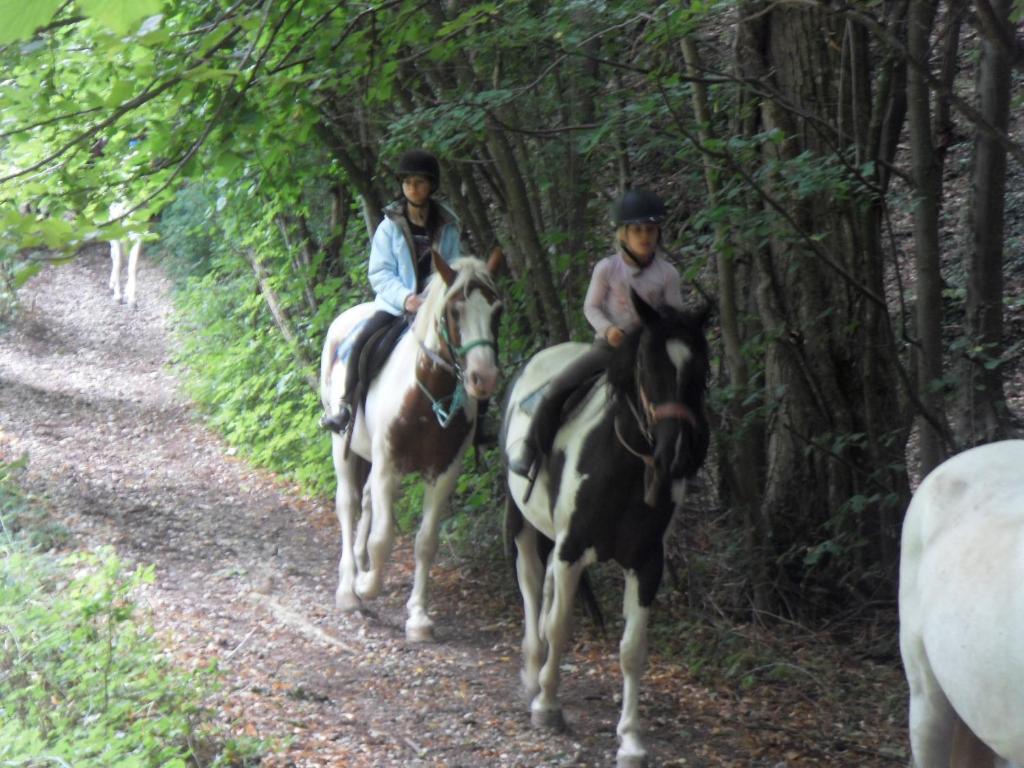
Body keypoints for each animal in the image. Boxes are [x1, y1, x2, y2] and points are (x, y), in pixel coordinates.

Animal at [319, 250, 503, 643]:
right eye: (455, 311)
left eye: (496, 310)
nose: (483, 378)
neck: (426, 395)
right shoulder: (388, 467)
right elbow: (383, 536)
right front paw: (366, 585)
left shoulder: (443, 474)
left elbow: (425, 542)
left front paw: (418, 618)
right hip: (341, 442)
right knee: (349, 504)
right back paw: (348, 586)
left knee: (366, 502)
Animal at [499, 294, 708, 768]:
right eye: (648, 365)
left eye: (700, 369)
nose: (675, 455)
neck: (624, 466)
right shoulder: (572, 549)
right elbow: (560, 626)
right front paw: (547, 707)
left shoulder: (647, 564)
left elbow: (632, 650)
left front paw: (631, 739)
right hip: (523, 525)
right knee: (532, 589)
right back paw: (532, 672)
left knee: (547, 593)